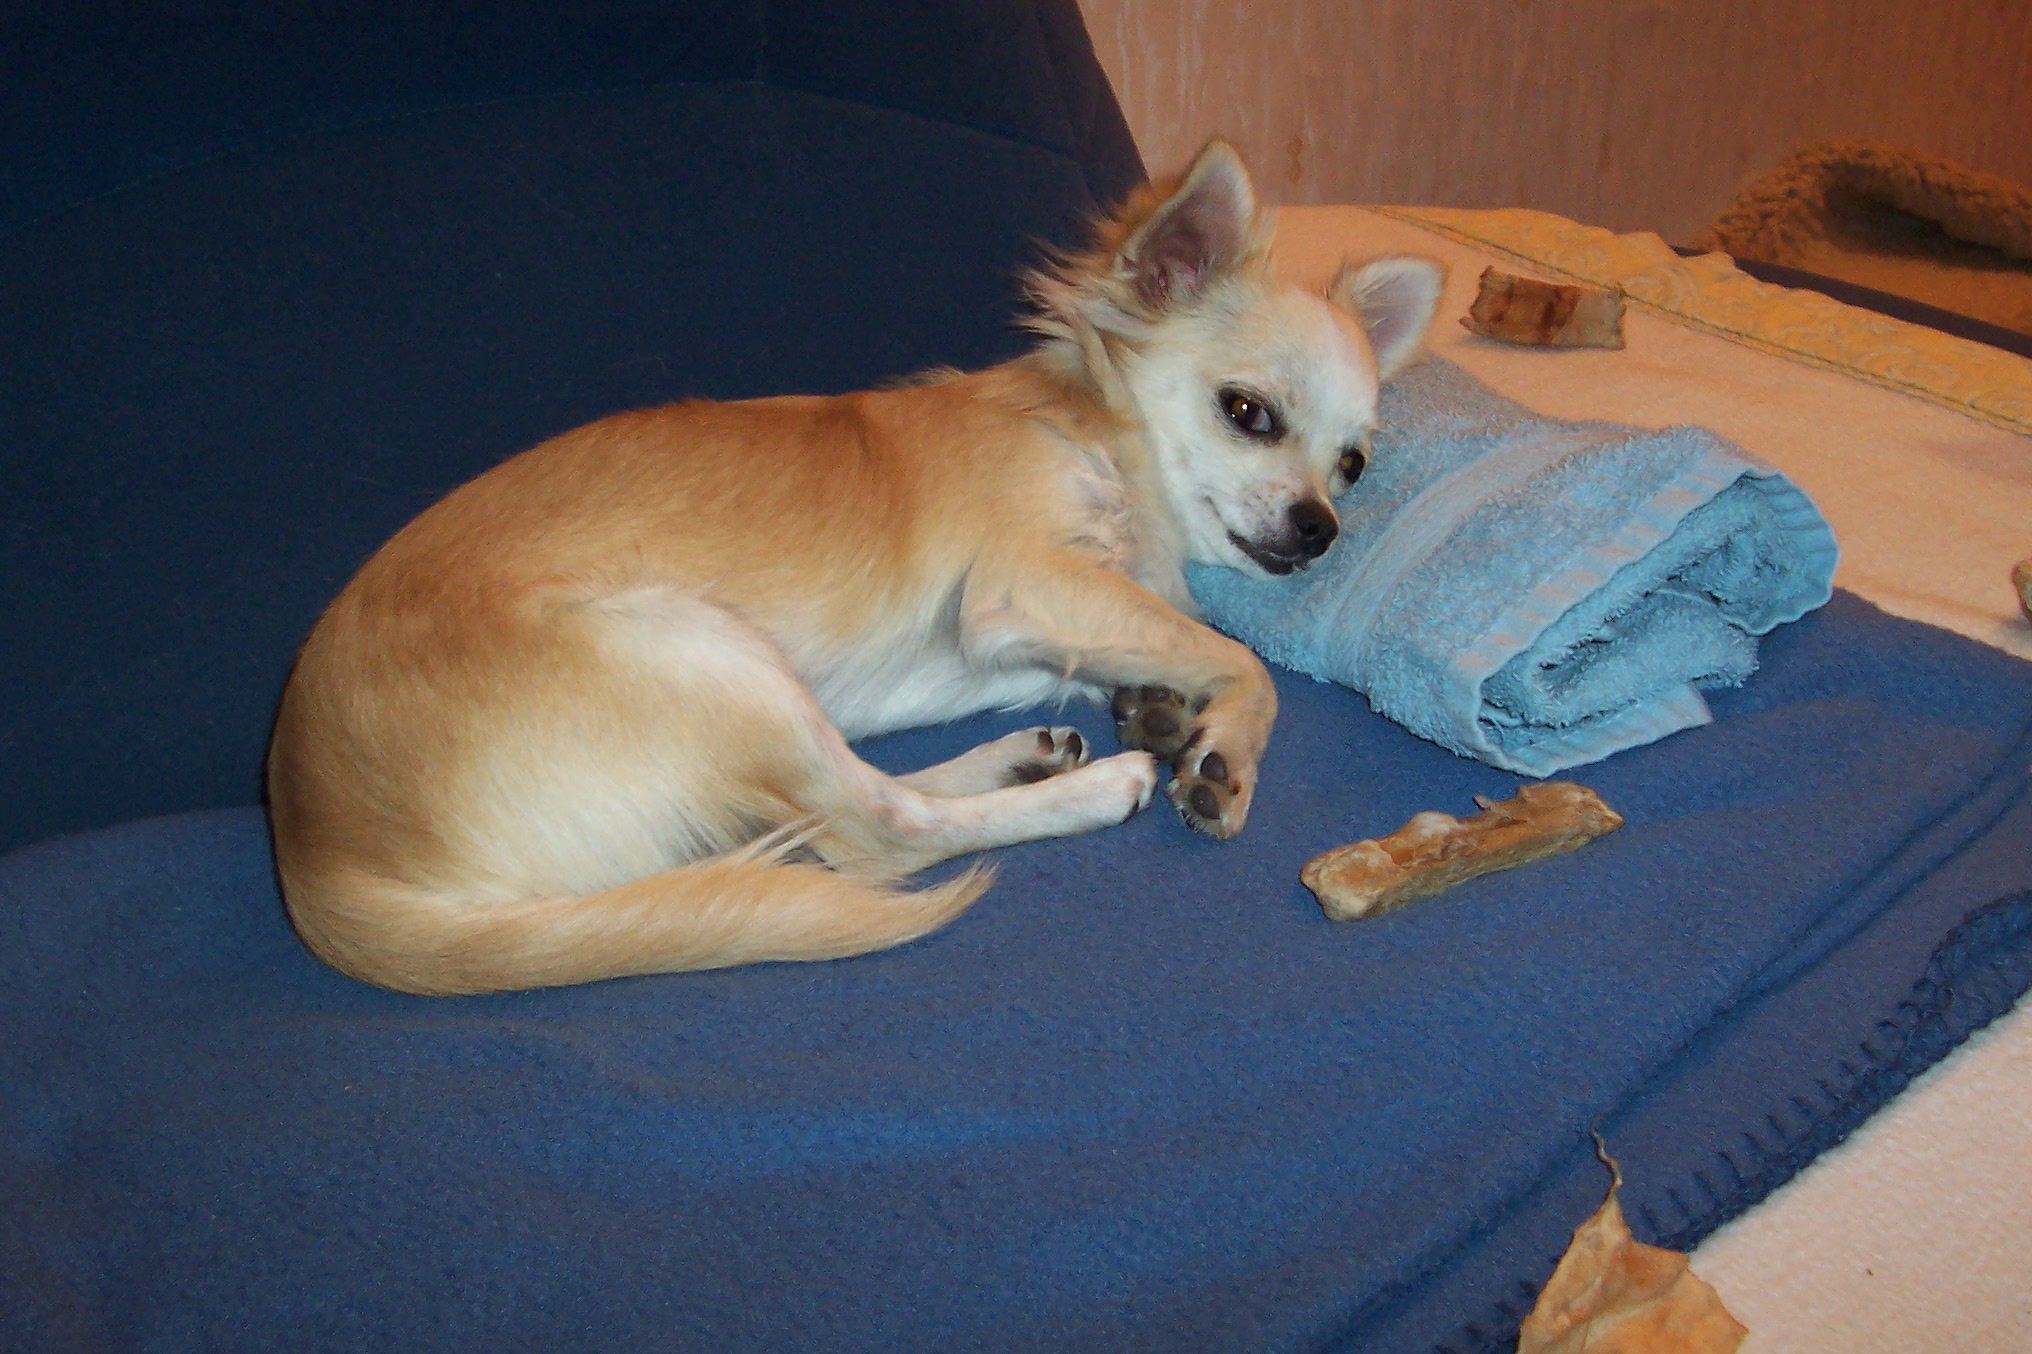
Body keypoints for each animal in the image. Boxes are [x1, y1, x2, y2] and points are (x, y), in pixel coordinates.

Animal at [265, 140, 1443, 995]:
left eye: (1353, 463)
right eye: (1247, 413)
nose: (1320, 528)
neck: (1099, 439)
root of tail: (319, 855)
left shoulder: (1056, 616)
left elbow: (1166, 638)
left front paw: (1156, 702)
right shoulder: (1020, 584)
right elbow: (1243, 661)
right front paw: (1222, 754)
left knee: (842, 807)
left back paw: (1022, 757)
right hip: (696, 648)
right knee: (877, 836)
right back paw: (1093, 788)